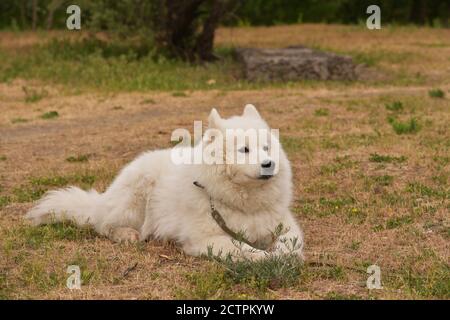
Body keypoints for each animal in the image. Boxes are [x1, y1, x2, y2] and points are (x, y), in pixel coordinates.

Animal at [26, 105, 304, 260]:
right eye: (244, 150)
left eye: (266, 147)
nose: (269, 164)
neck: (244, 202)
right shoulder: (206, 238)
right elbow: (245, 249)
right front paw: (265, 258)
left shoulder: (285, 226)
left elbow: (290, 244)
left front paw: (283, 256)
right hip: (135, 199)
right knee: (103, 225)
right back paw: (127, 234)